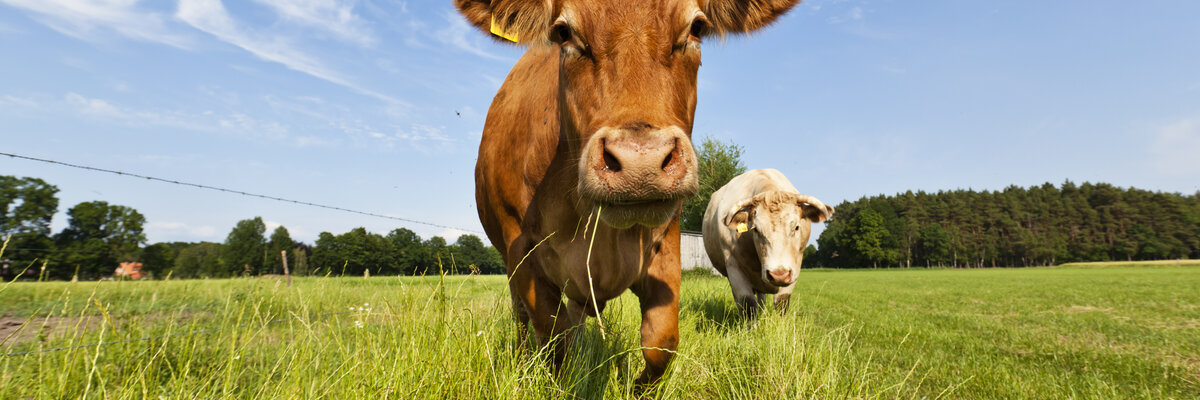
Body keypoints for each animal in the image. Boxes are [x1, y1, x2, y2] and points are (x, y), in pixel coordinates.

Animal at [455, 0, 803, 385]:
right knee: (522, 319)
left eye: (696, 27)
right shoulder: (522, 250)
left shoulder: (666, 244)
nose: (641, 163)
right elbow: (554, 342)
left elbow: (661, 343)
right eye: (563, 32)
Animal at [702, 169, 833, 318]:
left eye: (796, 227)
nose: (779, 274)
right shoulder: (734, 267)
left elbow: (782, 303)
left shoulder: (794, 268)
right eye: (756, 229)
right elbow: (747, 304)